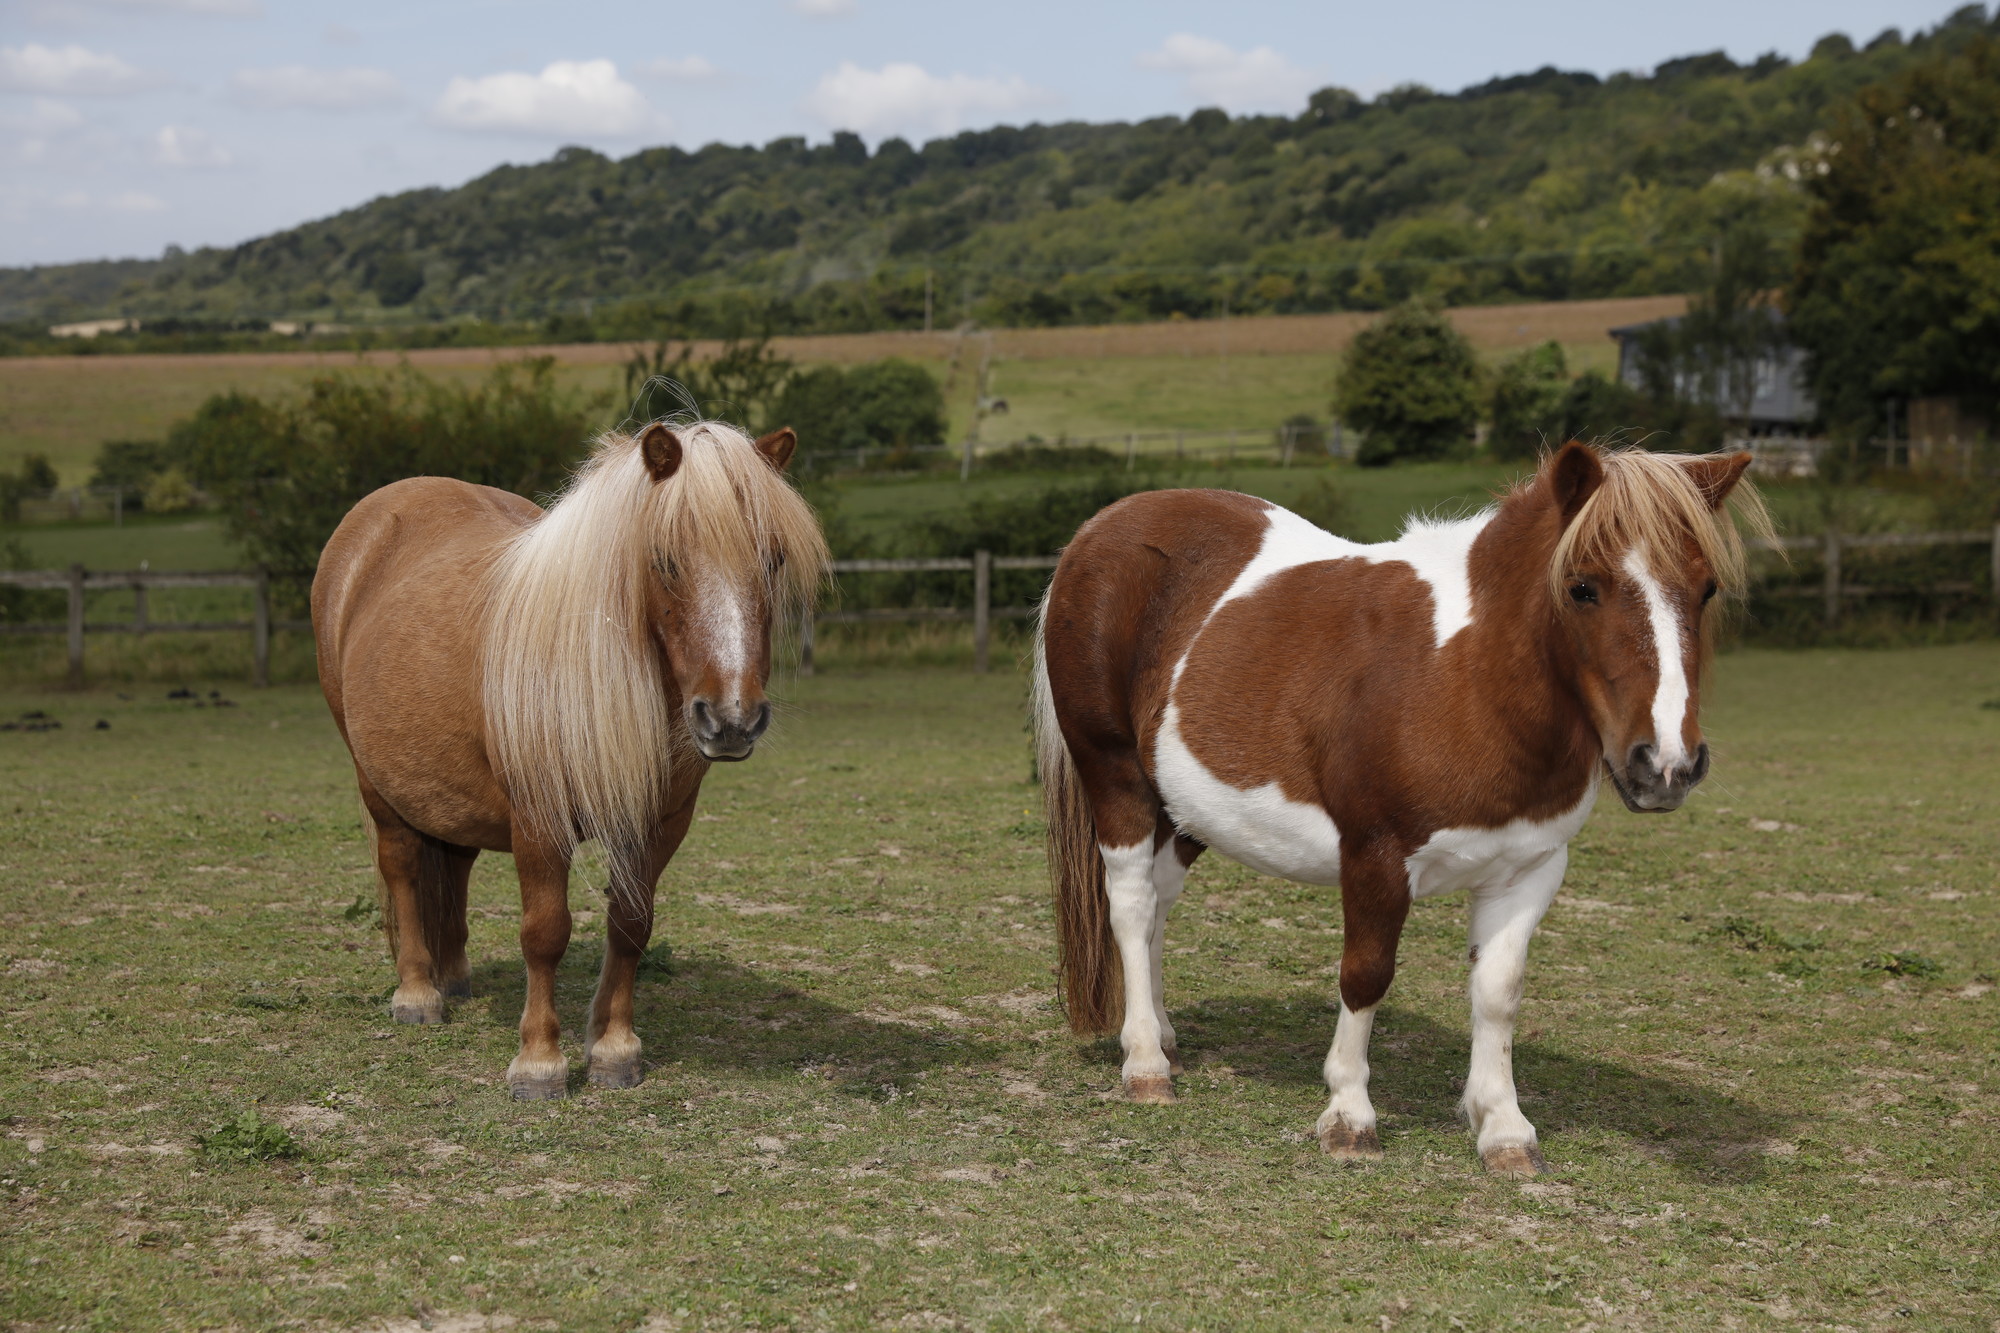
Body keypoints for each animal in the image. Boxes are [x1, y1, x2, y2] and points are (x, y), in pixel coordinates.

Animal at [1040, 440, 1776, 1168]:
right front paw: (1348, 1114)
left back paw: (1162, 1034)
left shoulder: (1531, 867)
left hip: (1186, 807)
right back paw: (1144, 1063)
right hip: (1117, 776)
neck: (1467, 676)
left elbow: (1499, 992)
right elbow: (1366, 976)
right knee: (1132, 905)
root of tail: (1098, 530)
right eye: (1582, 586)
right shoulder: (1375, 857)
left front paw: (1503, 1125)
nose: (1666, 765)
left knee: (1161, 901)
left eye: (1706, 588)